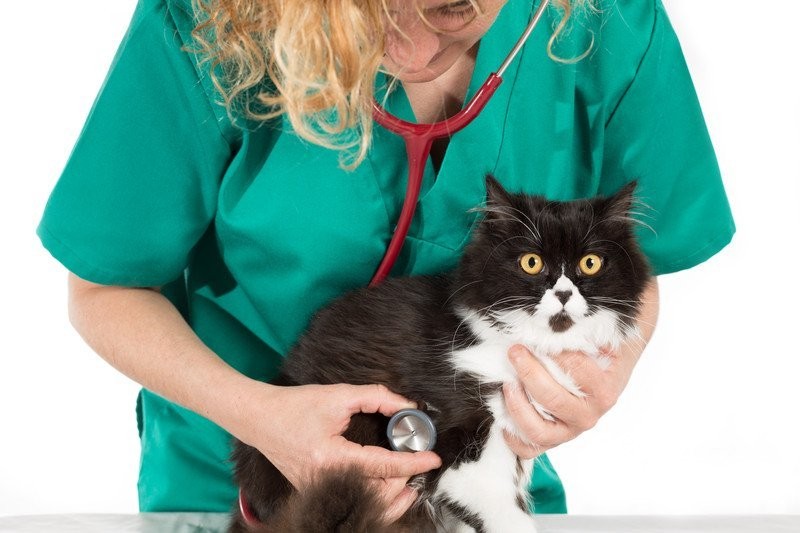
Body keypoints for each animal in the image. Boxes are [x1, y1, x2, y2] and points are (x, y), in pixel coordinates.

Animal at [227, 172, 648, 528]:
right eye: (531, 262)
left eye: (590, 263)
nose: (562, 294)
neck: (533, 344)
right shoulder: (461, 433)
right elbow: (501, 510)